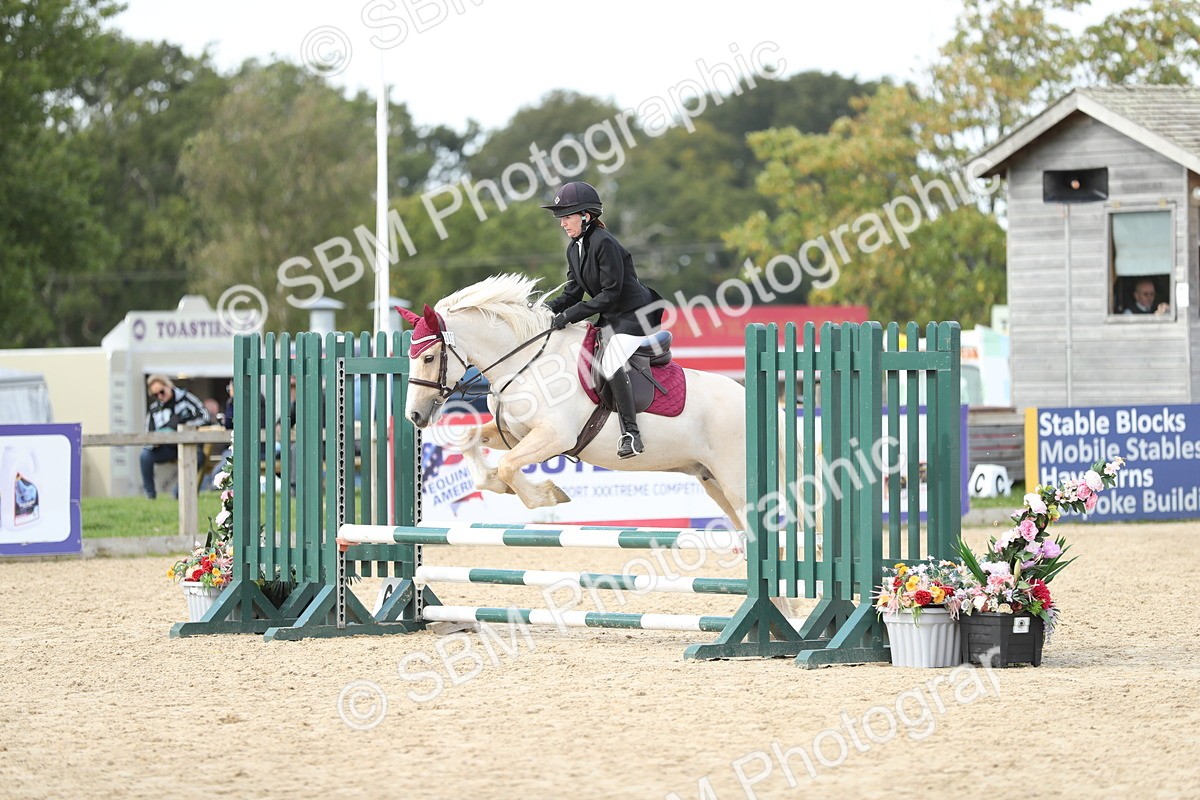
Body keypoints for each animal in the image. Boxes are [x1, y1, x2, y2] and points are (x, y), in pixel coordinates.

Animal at [400, 274, 751, 530]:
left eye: (429, 358)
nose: (415, 416)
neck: (526, 361)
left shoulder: (555, 436)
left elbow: (508, 464)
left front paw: (547, 496)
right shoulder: (514, 433)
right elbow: (470, 442)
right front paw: (499, 485)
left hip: (736, 483)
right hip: (711, 480)